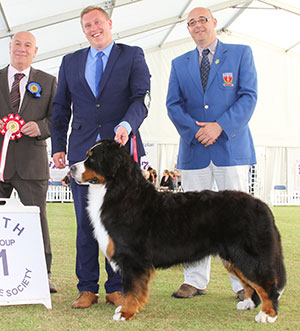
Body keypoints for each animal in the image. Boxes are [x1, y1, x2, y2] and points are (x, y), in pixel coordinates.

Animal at [69, 140, 286, 324]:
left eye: (92, 158)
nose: (71, 168)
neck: (118, 191)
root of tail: (262, 205)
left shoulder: (133, 258)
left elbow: (131, 289)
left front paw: (125, 312)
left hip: (246, 256)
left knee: (267, 285)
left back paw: (267, 314)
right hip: (233, 258)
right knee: (251, 284)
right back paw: (248, 303)